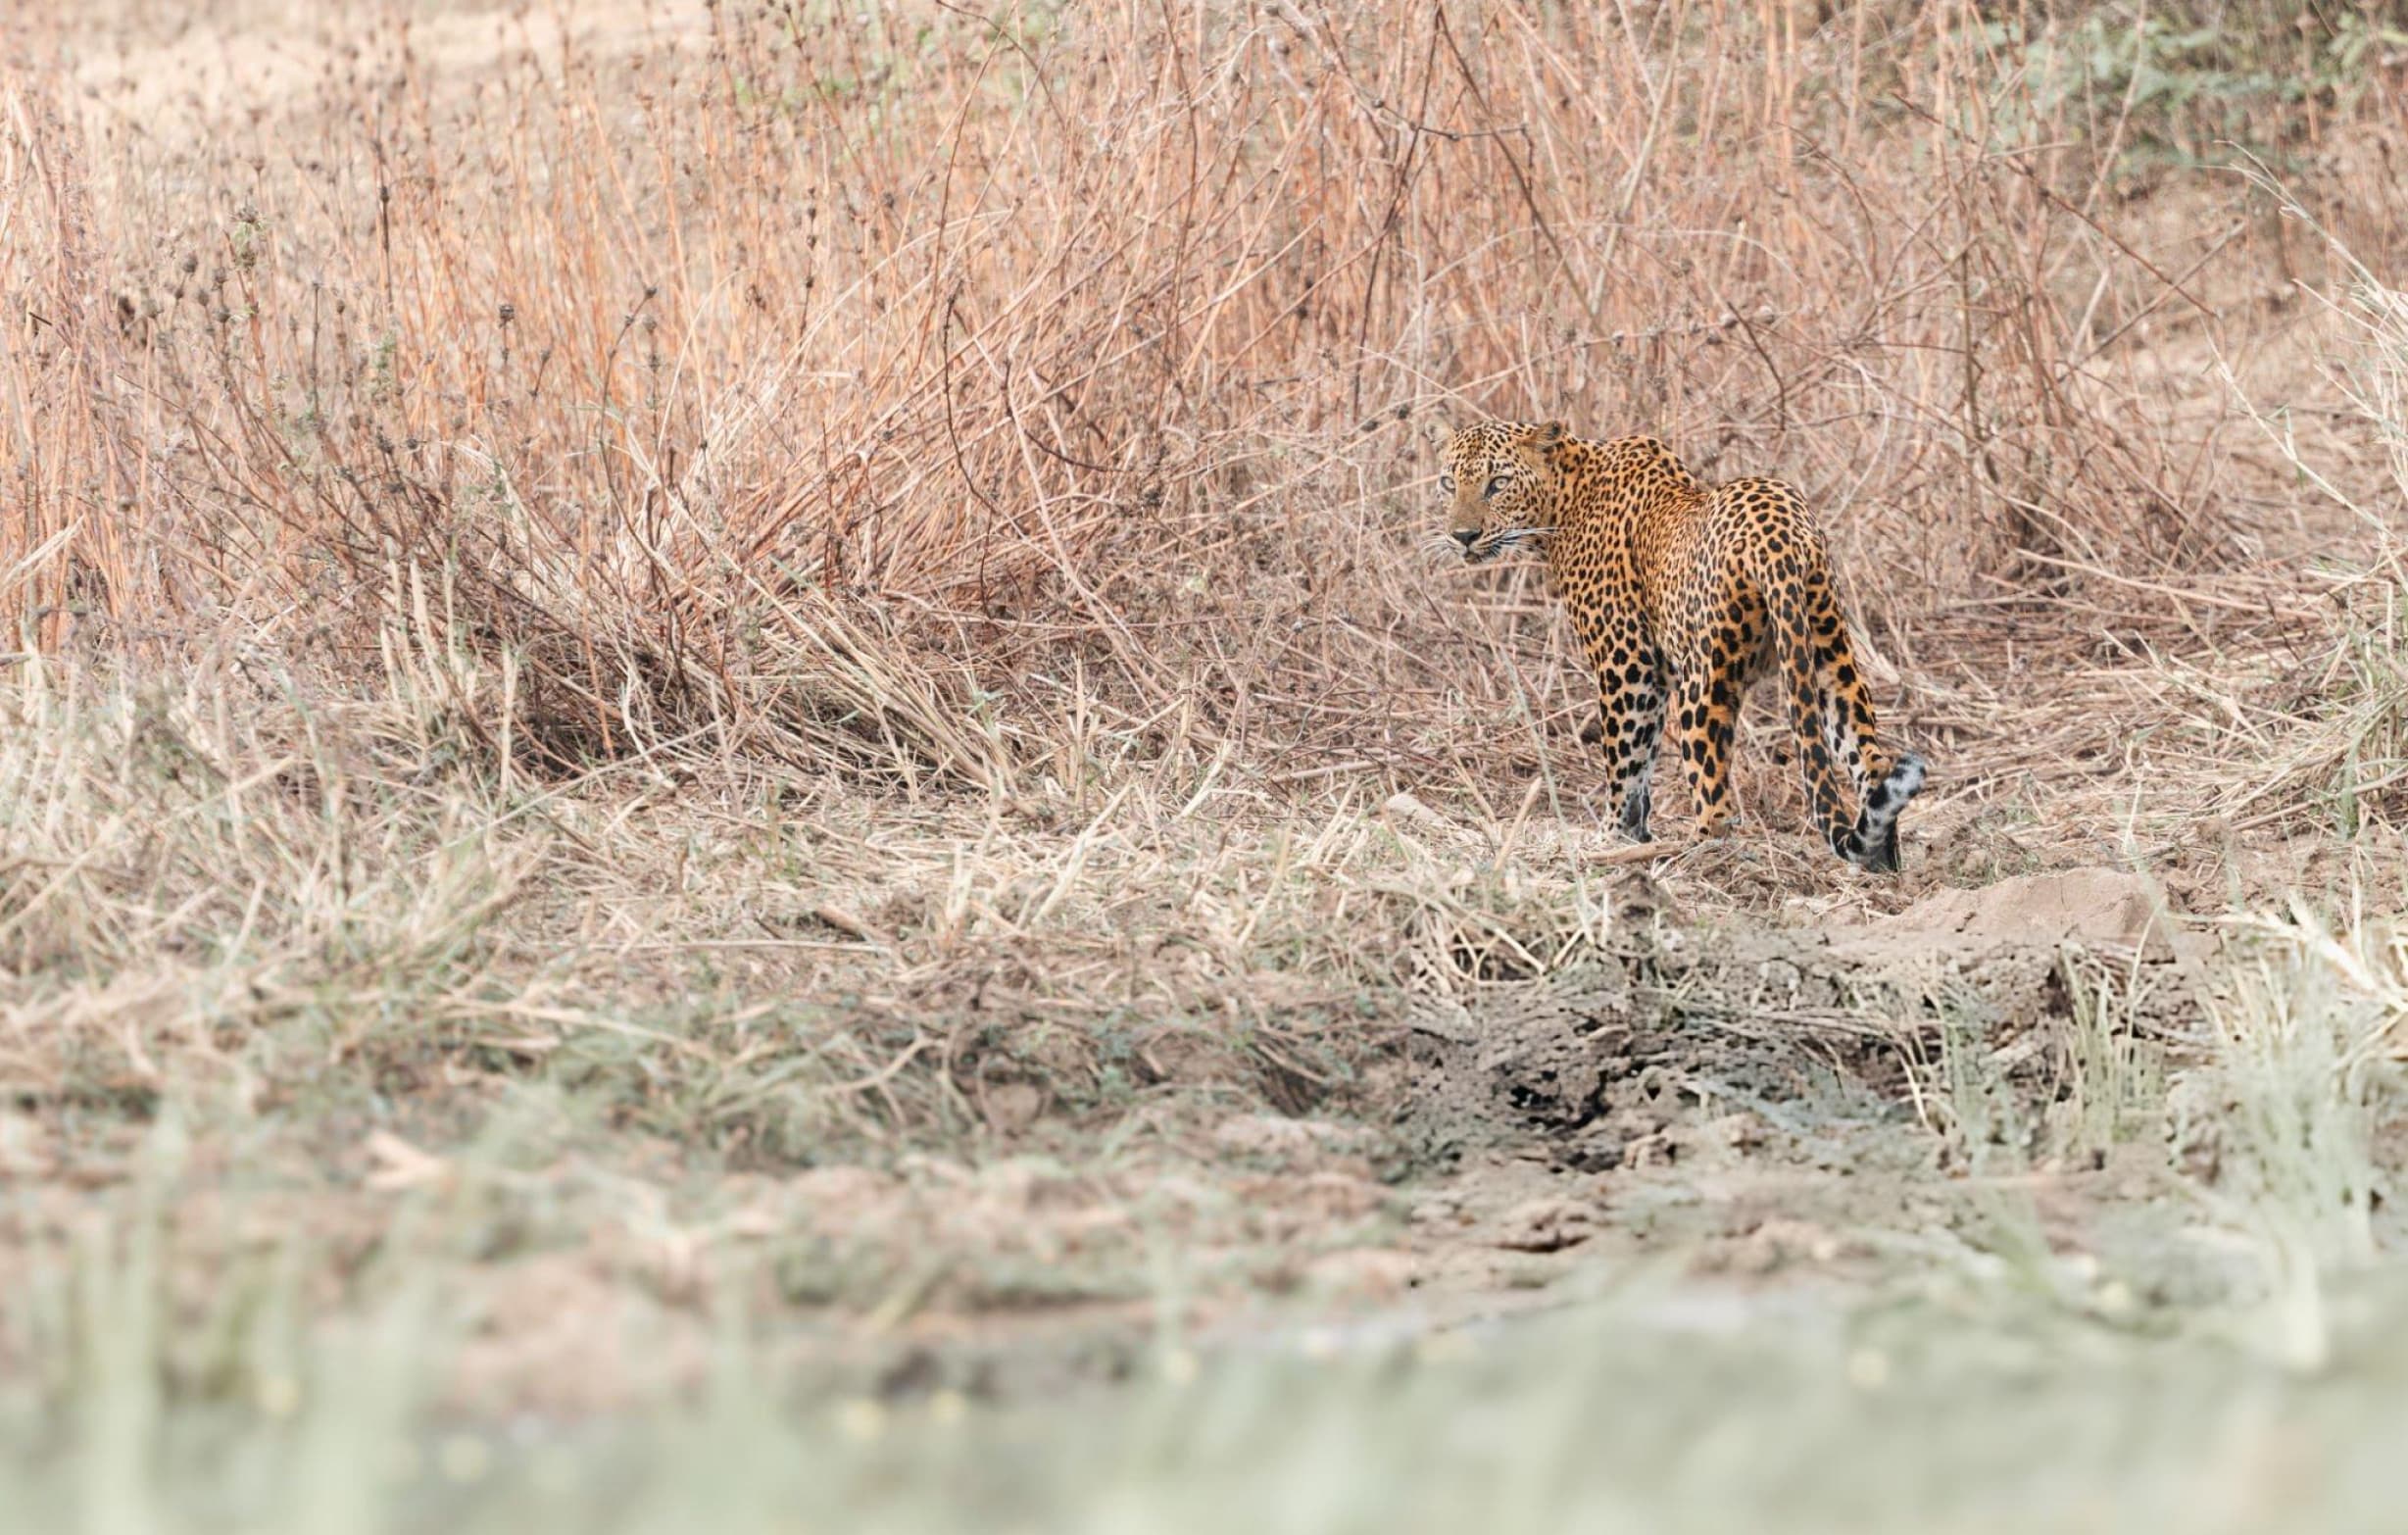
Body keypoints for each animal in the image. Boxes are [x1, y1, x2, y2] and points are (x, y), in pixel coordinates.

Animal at [1437, 418, 1925, 872]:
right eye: (1448, 483)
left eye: (1498, 483)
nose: (1462, 536)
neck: (1564, 498)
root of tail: (1777, 538)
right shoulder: (1656, 674)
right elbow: (1645, 757)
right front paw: (1635, 835)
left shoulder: (1627, 664)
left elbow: (1625, 759)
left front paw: (1611, 839)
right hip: (1828, 655)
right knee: (1873, 762)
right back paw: (1881, 861)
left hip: (1703, 682)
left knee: (1716, 802)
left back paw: (1696, 859)